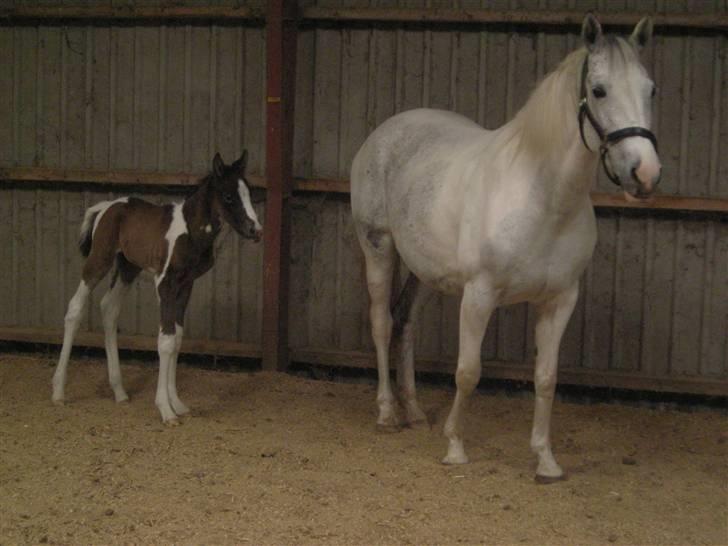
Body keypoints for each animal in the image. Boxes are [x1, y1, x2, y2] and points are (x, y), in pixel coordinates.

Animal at [52, 151, 262, 422]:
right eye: (228, 196)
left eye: (249, 192)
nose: (255, 229)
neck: (190, 231)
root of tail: (105, 208)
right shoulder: (165, 282)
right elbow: (166, 341)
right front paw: (165, 409)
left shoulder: (186, 284)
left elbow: (177, 338)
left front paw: (177, 404)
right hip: (99, 260)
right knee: (75, 308)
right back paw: (59, 392)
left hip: (128, 268)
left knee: (109, 308)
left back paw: (119, 392)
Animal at [350, 13, 664, 480]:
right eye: (599, 90)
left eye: (650, 89)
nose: (644, 174)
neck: (543, 198)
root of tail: (385, 133)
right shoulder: (479, 294)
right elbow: (468, 371)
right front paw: (455, 447)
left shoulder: (559, 300)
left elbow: (546, 378)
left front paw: (546, 460)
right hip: (378, 246)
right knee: (381, 323)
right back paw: (388, 414)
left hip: (424, 269)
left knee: (404, 322)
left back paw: (416, 413)